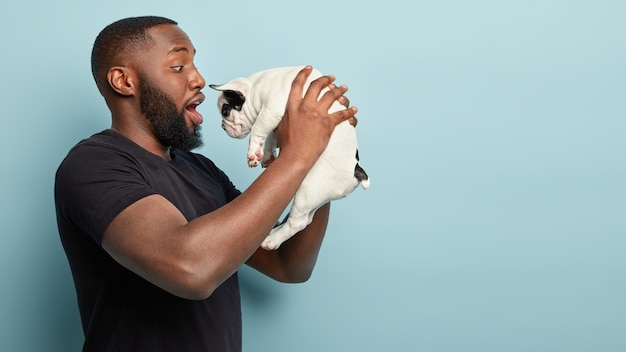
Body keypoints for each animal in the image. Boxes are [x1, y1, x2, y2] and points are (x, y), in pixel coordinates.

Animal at [210, 64, 368, 249]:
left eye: (225, 111)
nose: (222, 126)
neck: (256, 85)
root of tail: (355, 171)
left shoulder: (270, 112)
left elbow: (258, 129)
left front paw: (253, 154)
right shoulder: (276, 122)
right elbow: (271, 138)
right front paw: (267, 156)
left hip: (309, 190)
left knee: (298, 223)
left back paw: (271, 241)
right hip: (316, 197)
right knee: (306, 219)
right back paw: (274, 232)